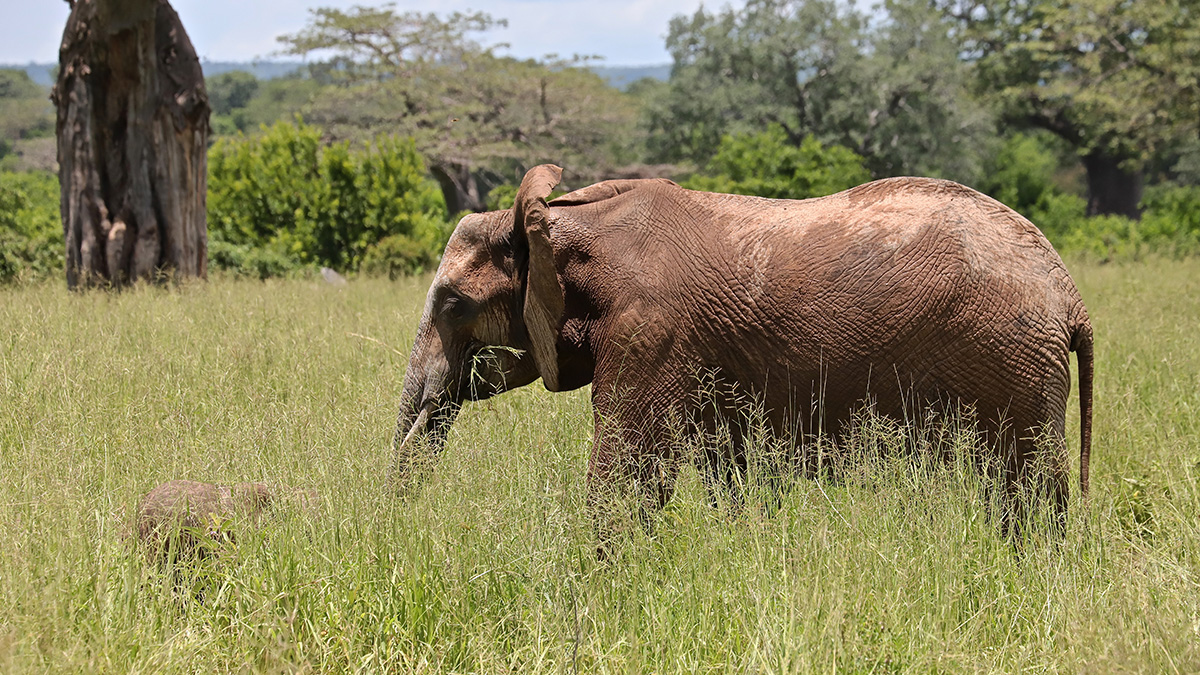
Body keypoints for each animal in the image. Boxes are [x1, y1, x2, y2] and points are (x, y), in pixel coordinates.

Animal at [396, 163, 1099, 540]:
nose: (401, 522)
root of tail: (1069, 293)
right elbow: (727, 470)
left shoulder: (650, 332)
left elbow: (628, 470)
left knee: (1026, 484)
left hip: (1011, 356)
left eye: (453, 304)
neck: (562, 220)